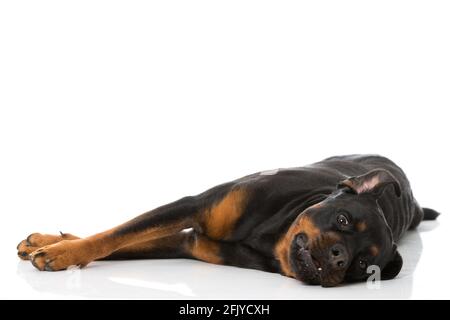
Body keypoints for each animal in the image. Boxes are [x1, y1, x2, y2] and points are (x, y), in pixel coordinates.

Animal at [17, 155, 440, 288]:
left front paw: (59, 252)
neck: (273, 236)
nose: (339, 256)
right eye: (342, 219)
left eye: (361, 265)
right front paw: (60, 250)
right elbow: (114, 236)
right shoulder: (192, 209)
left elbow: (120, 242)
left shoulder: (188, 244)